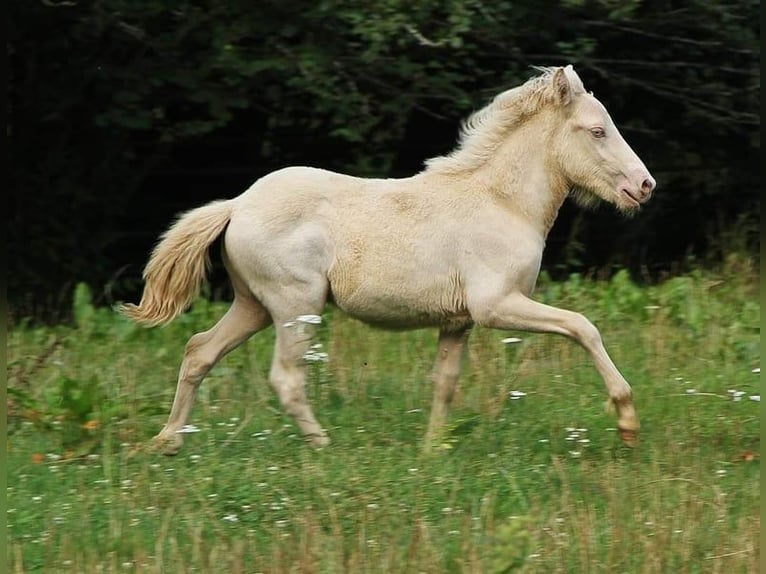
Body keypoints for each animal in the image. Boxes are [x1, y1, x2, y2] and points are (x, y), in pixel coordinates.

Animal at [121, 65, 655, 455]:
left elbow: (445, 383)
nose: (644, 186)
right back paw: (324, 446)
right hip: (296, 307)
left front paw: (432, 451)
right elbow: (583, 327)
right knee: (285, 378)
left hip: (253, 306)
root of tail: (236, 205)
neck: (501, 201)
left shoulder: (458, 321)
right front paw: (627, 420)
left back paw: (167, 442)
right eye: (597, 131)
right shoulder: (497, 305)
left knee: (199, 351)